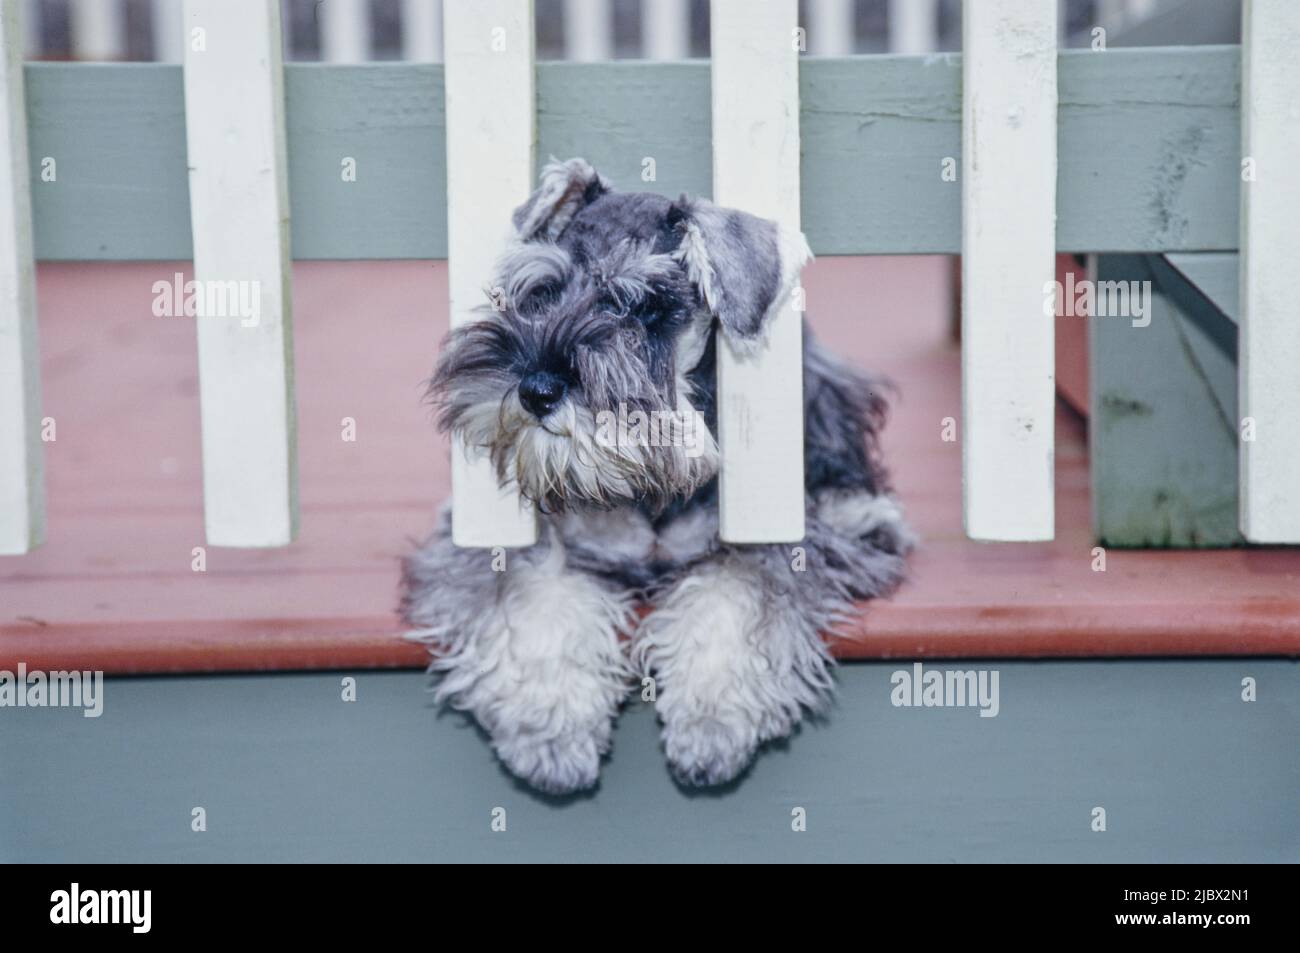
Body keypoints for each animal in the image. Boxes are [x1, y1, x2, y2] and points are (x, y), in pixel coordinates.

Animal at [400, 157, 909, 795]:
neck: (647, 488)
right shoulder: (520, 539)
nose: (536, 389)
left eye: (645, 308)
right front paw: (549, 727)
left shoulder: (766, 541)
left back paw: (861, 512)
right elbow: (531, 596)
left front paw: (711, 722)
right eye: (542, 292)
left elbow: (735, 594)